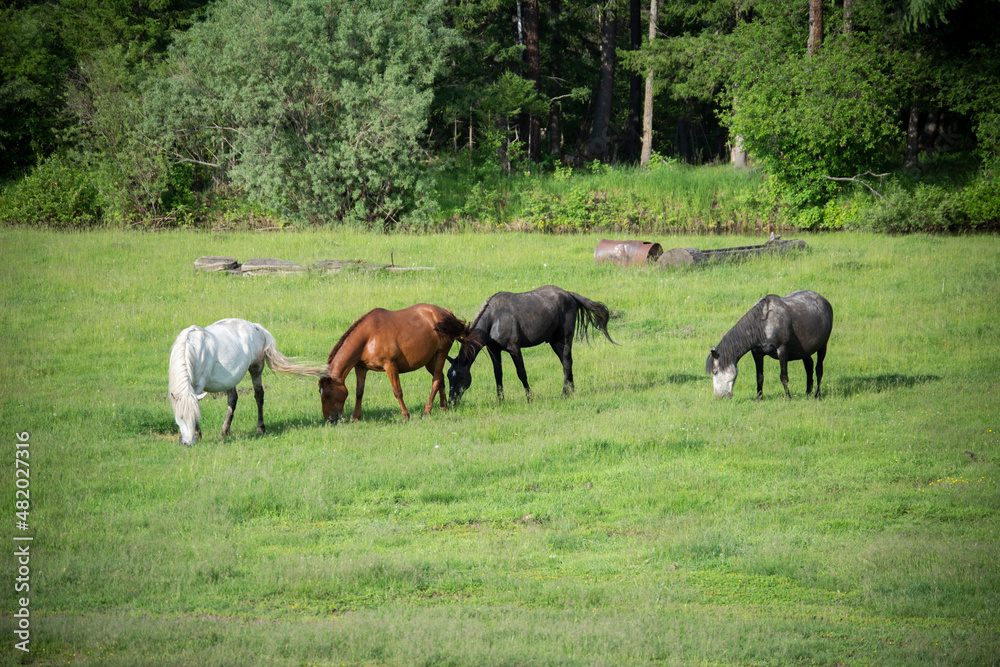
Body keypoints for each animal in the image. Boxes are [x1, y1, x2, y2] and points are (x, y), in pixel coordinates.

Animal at [169, 320, 324, 446]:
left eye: (194, 417)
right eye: (179, 417)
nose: (188, 443)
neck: (191, 349)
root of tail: (257, 327)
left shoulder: (198, 385)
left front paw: (197, 434)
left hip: (256, 368)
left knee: (259, 395)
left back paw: (260, 428)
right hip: (230, 379)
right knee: (232, 399)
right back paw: (225, 431)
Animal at [320, 304, 476, 422]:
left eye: (327, 394)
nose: (329, 420)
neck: (368, 337)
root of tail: (446, 312)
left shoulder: (390, 365)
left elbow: (398, 391)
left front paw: (405, 416)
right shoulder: (361, 367)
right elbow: (359, 392)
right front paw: (355, 417)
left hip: (441, 353)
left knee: (436, 380)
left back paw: (426, 412)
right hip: (430, 359)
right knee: (441, 379)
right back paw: (443, 408)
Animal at [448, 284, 616, 404]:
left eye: (461, 377)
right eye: (449, 376)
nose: (451, 402)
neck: (494, 318)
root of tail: (569, 294)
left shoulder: (514, 349)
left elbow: (521, 373)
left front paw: (530, 398)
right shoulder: (494, 351)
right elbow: (498, 374)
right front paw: (500, 400)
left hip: (566, 338)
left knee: (567, 362)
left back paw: (564, 393)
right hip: (555, 342)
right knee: (566, 363)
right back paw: (571, 391)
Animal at [704, 290, 836, 400]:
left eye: (715, 371)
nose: (718, 396)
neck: (763, 324)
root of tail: (824, 301)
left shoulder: (782, 350)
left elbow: (784, 377)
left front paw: (788, 397)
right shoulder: (757, 353)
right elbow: (759, 377)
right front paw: (759, 398)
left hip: (823, 346)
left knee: (818, 369)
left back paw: (817, 395)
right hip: (804, 351)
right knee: (809, 366)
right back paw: (808, 393)